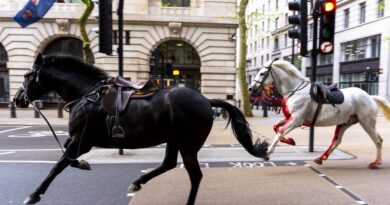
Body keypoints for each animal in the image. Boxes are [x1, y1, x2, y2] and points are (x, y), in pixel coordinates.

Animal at [14, 53, 268, 204]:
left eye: (27, 75)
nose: (17, 99)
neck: (87, 95)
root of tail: (206, 100)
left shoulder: (82, 140)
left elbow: (58, 165)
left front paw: (34, 194)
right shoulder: (77, 140)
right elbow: (65, 158)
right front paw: (83, 164)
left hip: (188, 144)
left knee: (195, 175)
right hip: (174, 140)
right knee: (168, 164)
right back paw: (138, 182)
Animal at [248, 59, 390, 168]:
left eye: (262, 73)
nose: (250, 89)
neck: (296, 91)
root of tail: (371, 97)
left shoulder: (296, 120)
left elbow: (280, 131)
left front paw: (268, 152)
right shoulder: (291, 118)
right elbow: (276, 128)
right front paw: (289, 141)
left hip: (366, 122)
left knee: (378, 140)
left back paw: (376, 163)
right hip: (345, 123)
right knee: (337, 141)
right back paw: (321, 158)